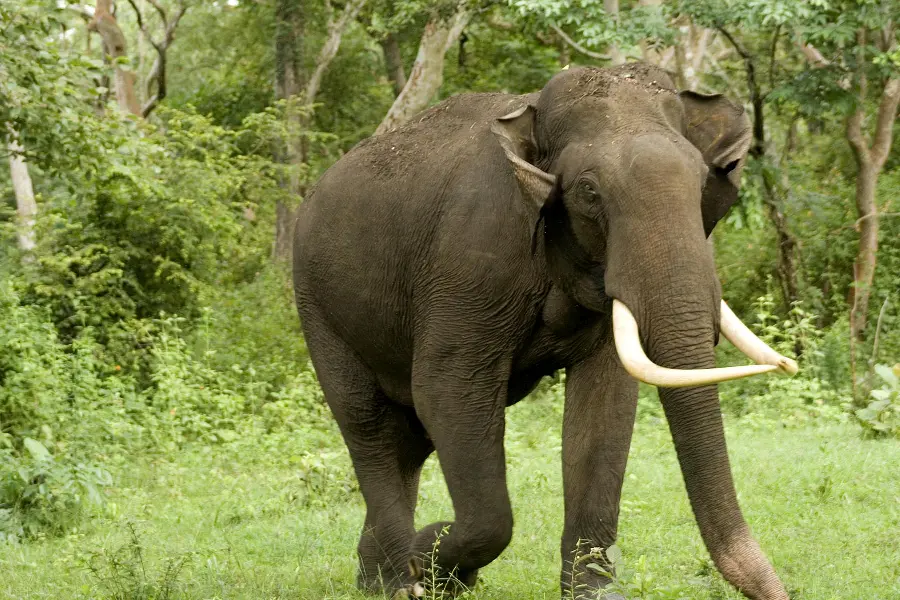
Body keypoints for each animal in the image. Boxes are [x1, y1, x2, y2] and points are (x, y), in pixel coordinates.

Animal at [292, 62, 800, 600]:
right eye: (589, 191)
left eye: (702, 180)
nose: (781, 592)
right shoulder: (468, 260)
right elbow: (449, 390)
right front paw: (432, 560)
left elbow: (604, 406)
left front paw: (593, 594)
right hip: (317, 304)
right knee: (367, 422)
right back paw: (398, 583)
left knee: (408, 441)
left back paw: (378, 579)